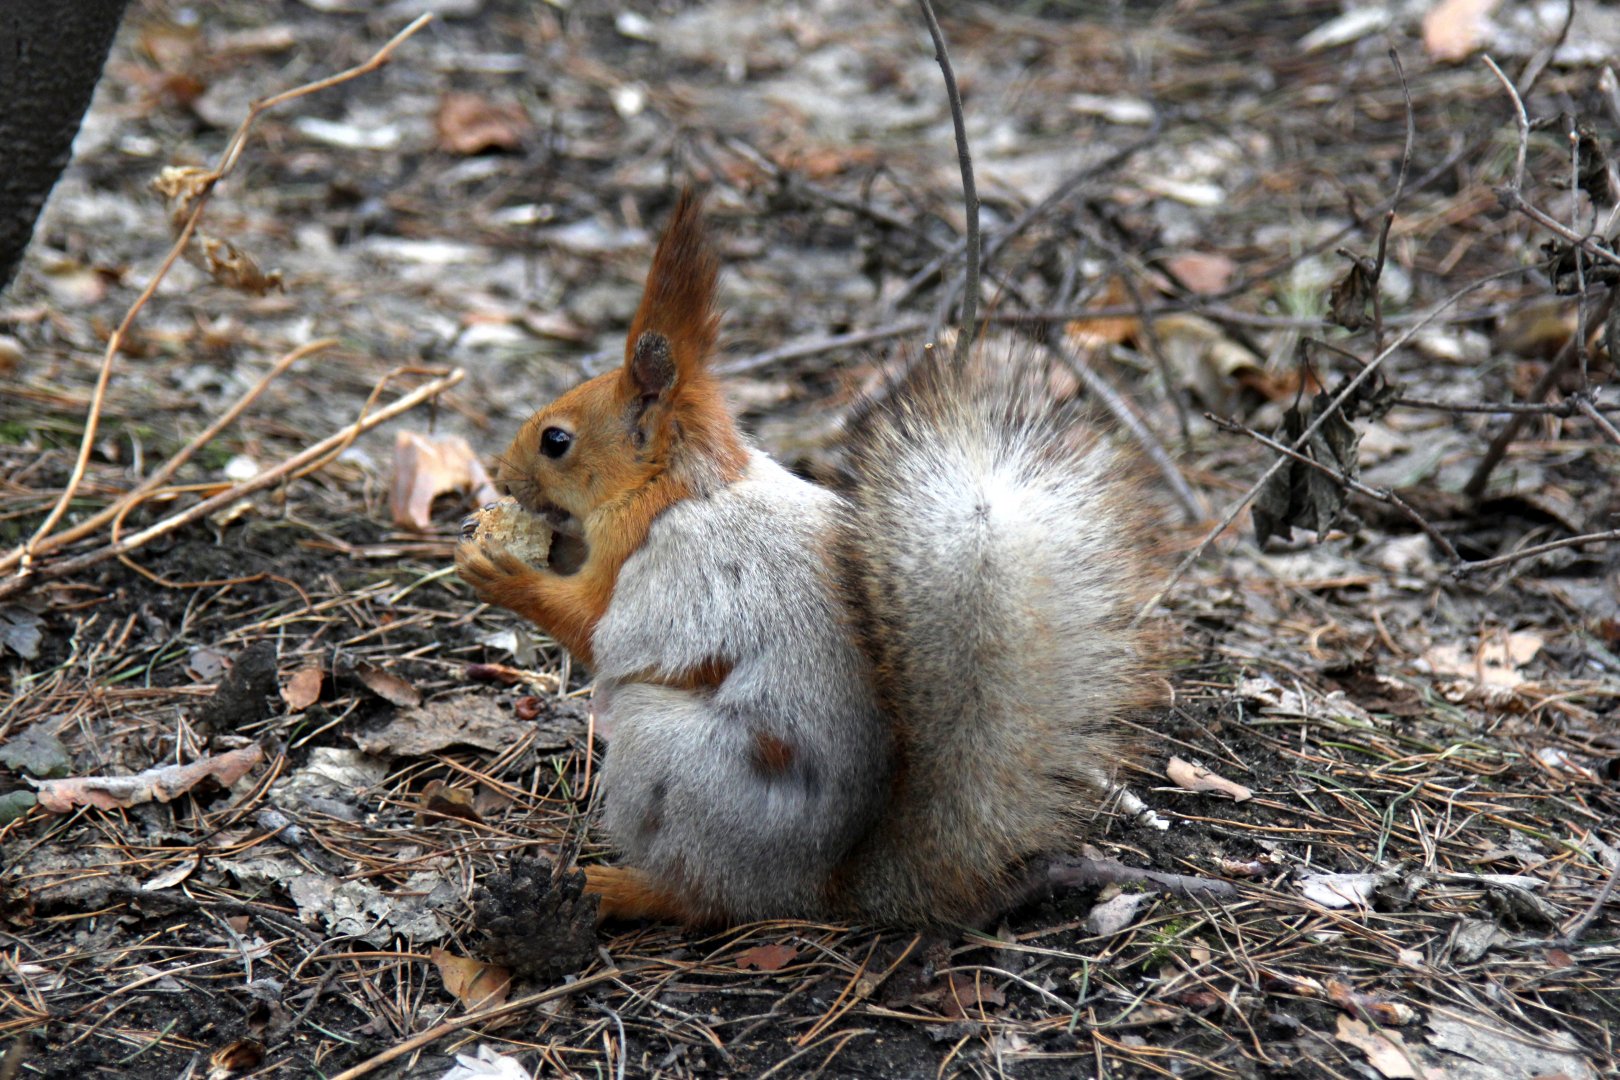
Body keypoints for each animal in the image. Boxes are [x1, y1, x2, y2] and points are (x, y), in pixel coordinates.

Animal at [456, 191, 1159, 926]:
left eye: (555, 441)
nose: (502, 477)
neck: (680, 484)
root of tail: (823, 885)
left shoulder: (653, 567)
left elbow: (595, 628)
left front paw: (502, 572)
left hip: (670, 760)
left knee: (704, 897)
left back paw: (619, 888)